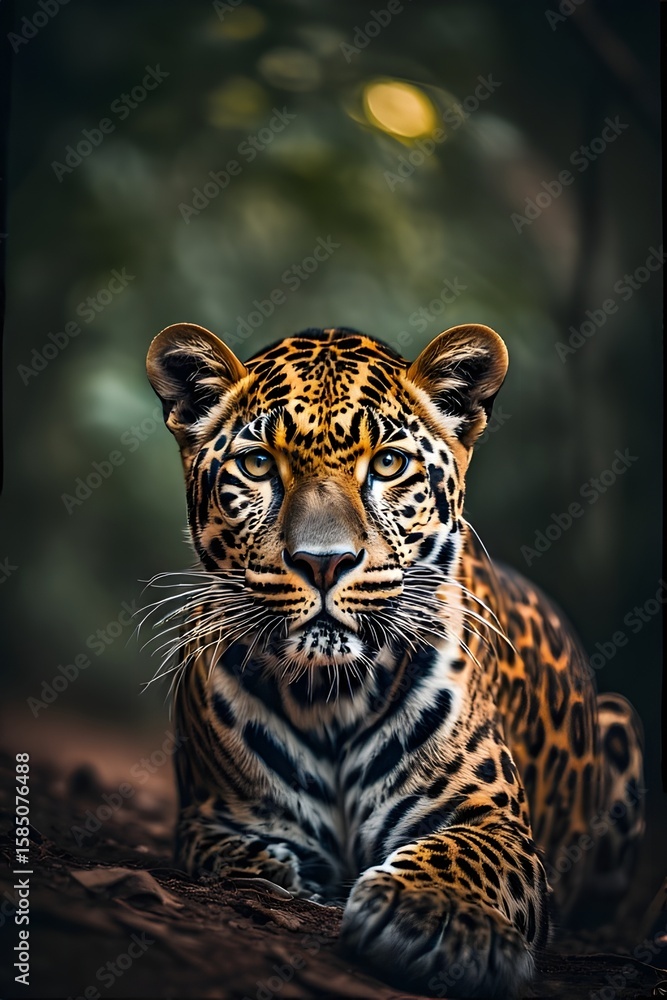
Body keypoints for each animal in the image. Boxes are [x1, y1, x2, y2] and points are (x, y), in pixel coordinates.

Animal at [145, 321, 645, 998]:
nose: (323, 561)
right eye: (257, 464)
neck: (327, 697)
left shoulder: (495, 822)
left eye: (388, 463)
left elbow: (465, 853)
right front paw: (299, 880)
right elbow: (245, 856)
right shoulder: (212, 817)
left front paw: (441, 917)